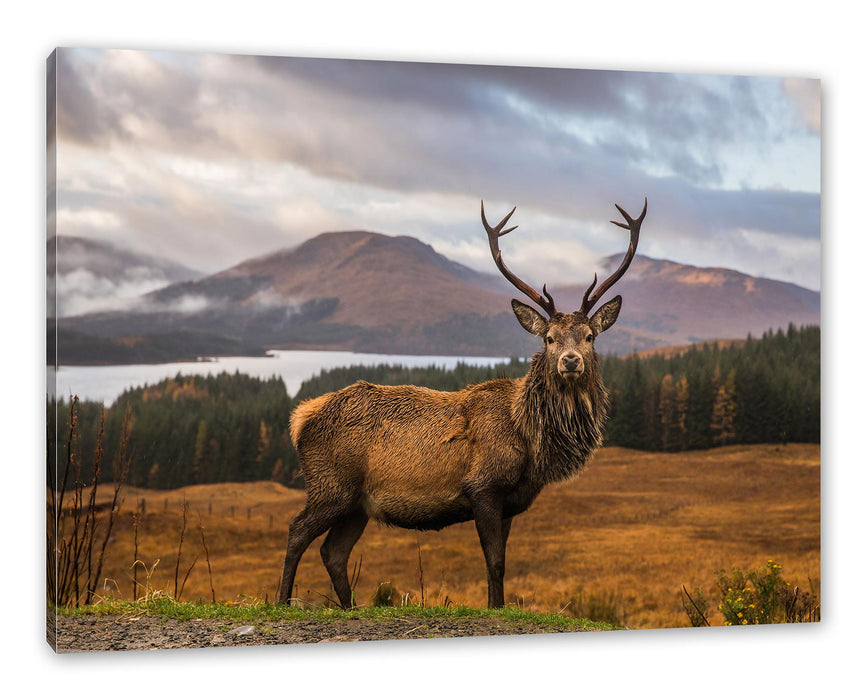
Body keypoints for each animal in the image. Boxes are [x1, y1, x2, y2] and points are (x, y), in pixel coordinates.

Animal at [276, 197, 640, 608]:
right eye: (549, 338)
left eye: (590, 336)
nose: (570, 360)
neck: (529, 441)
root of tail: (300, 418)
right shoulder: (482, 486)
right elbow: (495, 561)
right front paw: (495, 608)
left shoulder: (510, 501)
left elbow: (500, 561)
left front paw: (497, 604)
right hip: (330, 484)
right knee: (297, 530)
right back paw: (282, 600)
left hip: (357, 504)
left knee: (333, 551)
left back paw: (350, 606)